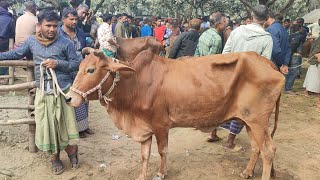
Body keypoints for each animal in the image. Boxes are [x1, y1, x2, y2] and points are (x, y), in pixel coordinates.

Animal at [65, 50, 282, 180]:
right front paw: (142, 176)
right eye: (79, 68)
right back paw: (247, 172)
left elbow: (162, 151)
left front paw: (161, 173)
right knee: (256, 147)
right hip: (248, 121)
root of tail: (268, 63)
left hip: (258, 121)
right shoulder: (145, 128)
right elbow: (144, 155)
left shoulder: (161, 125)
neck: (135, 83)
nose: (68, 98)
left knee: (269, 150)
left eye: (91, 70)